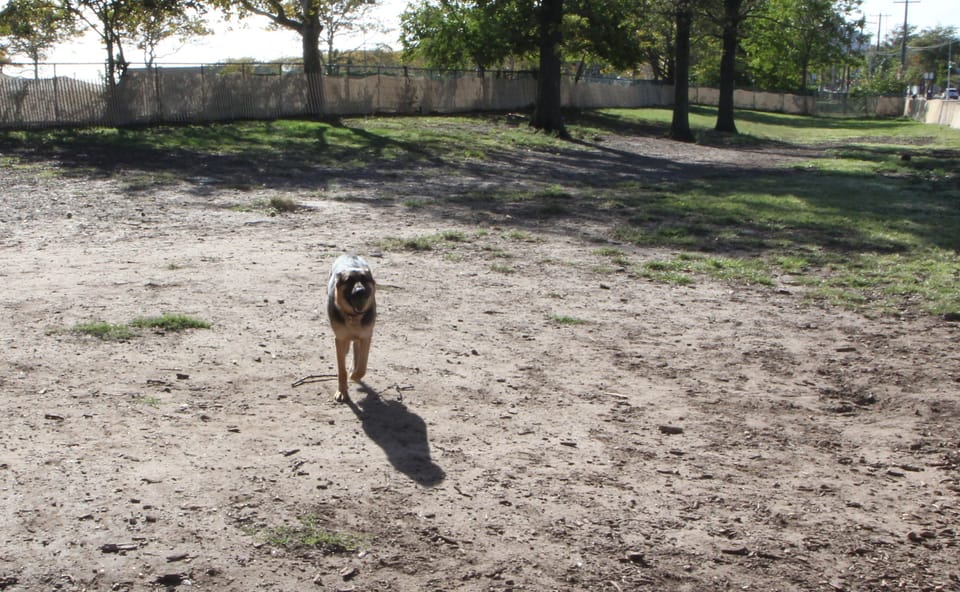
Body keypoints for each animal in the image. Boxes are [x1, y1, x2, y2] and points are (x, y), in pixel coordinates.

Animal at [328, 254, 376, 402]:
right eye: (348, 281)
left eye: (365, 280)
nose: (360, 291)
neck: (354, 317)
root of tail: (349, 254)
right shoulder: (339, 339)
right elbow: (341, 370)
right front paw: (342, 392)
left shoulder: (366, 336)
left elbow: (362, 366)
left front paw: (354, 375)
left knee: (356, 348)